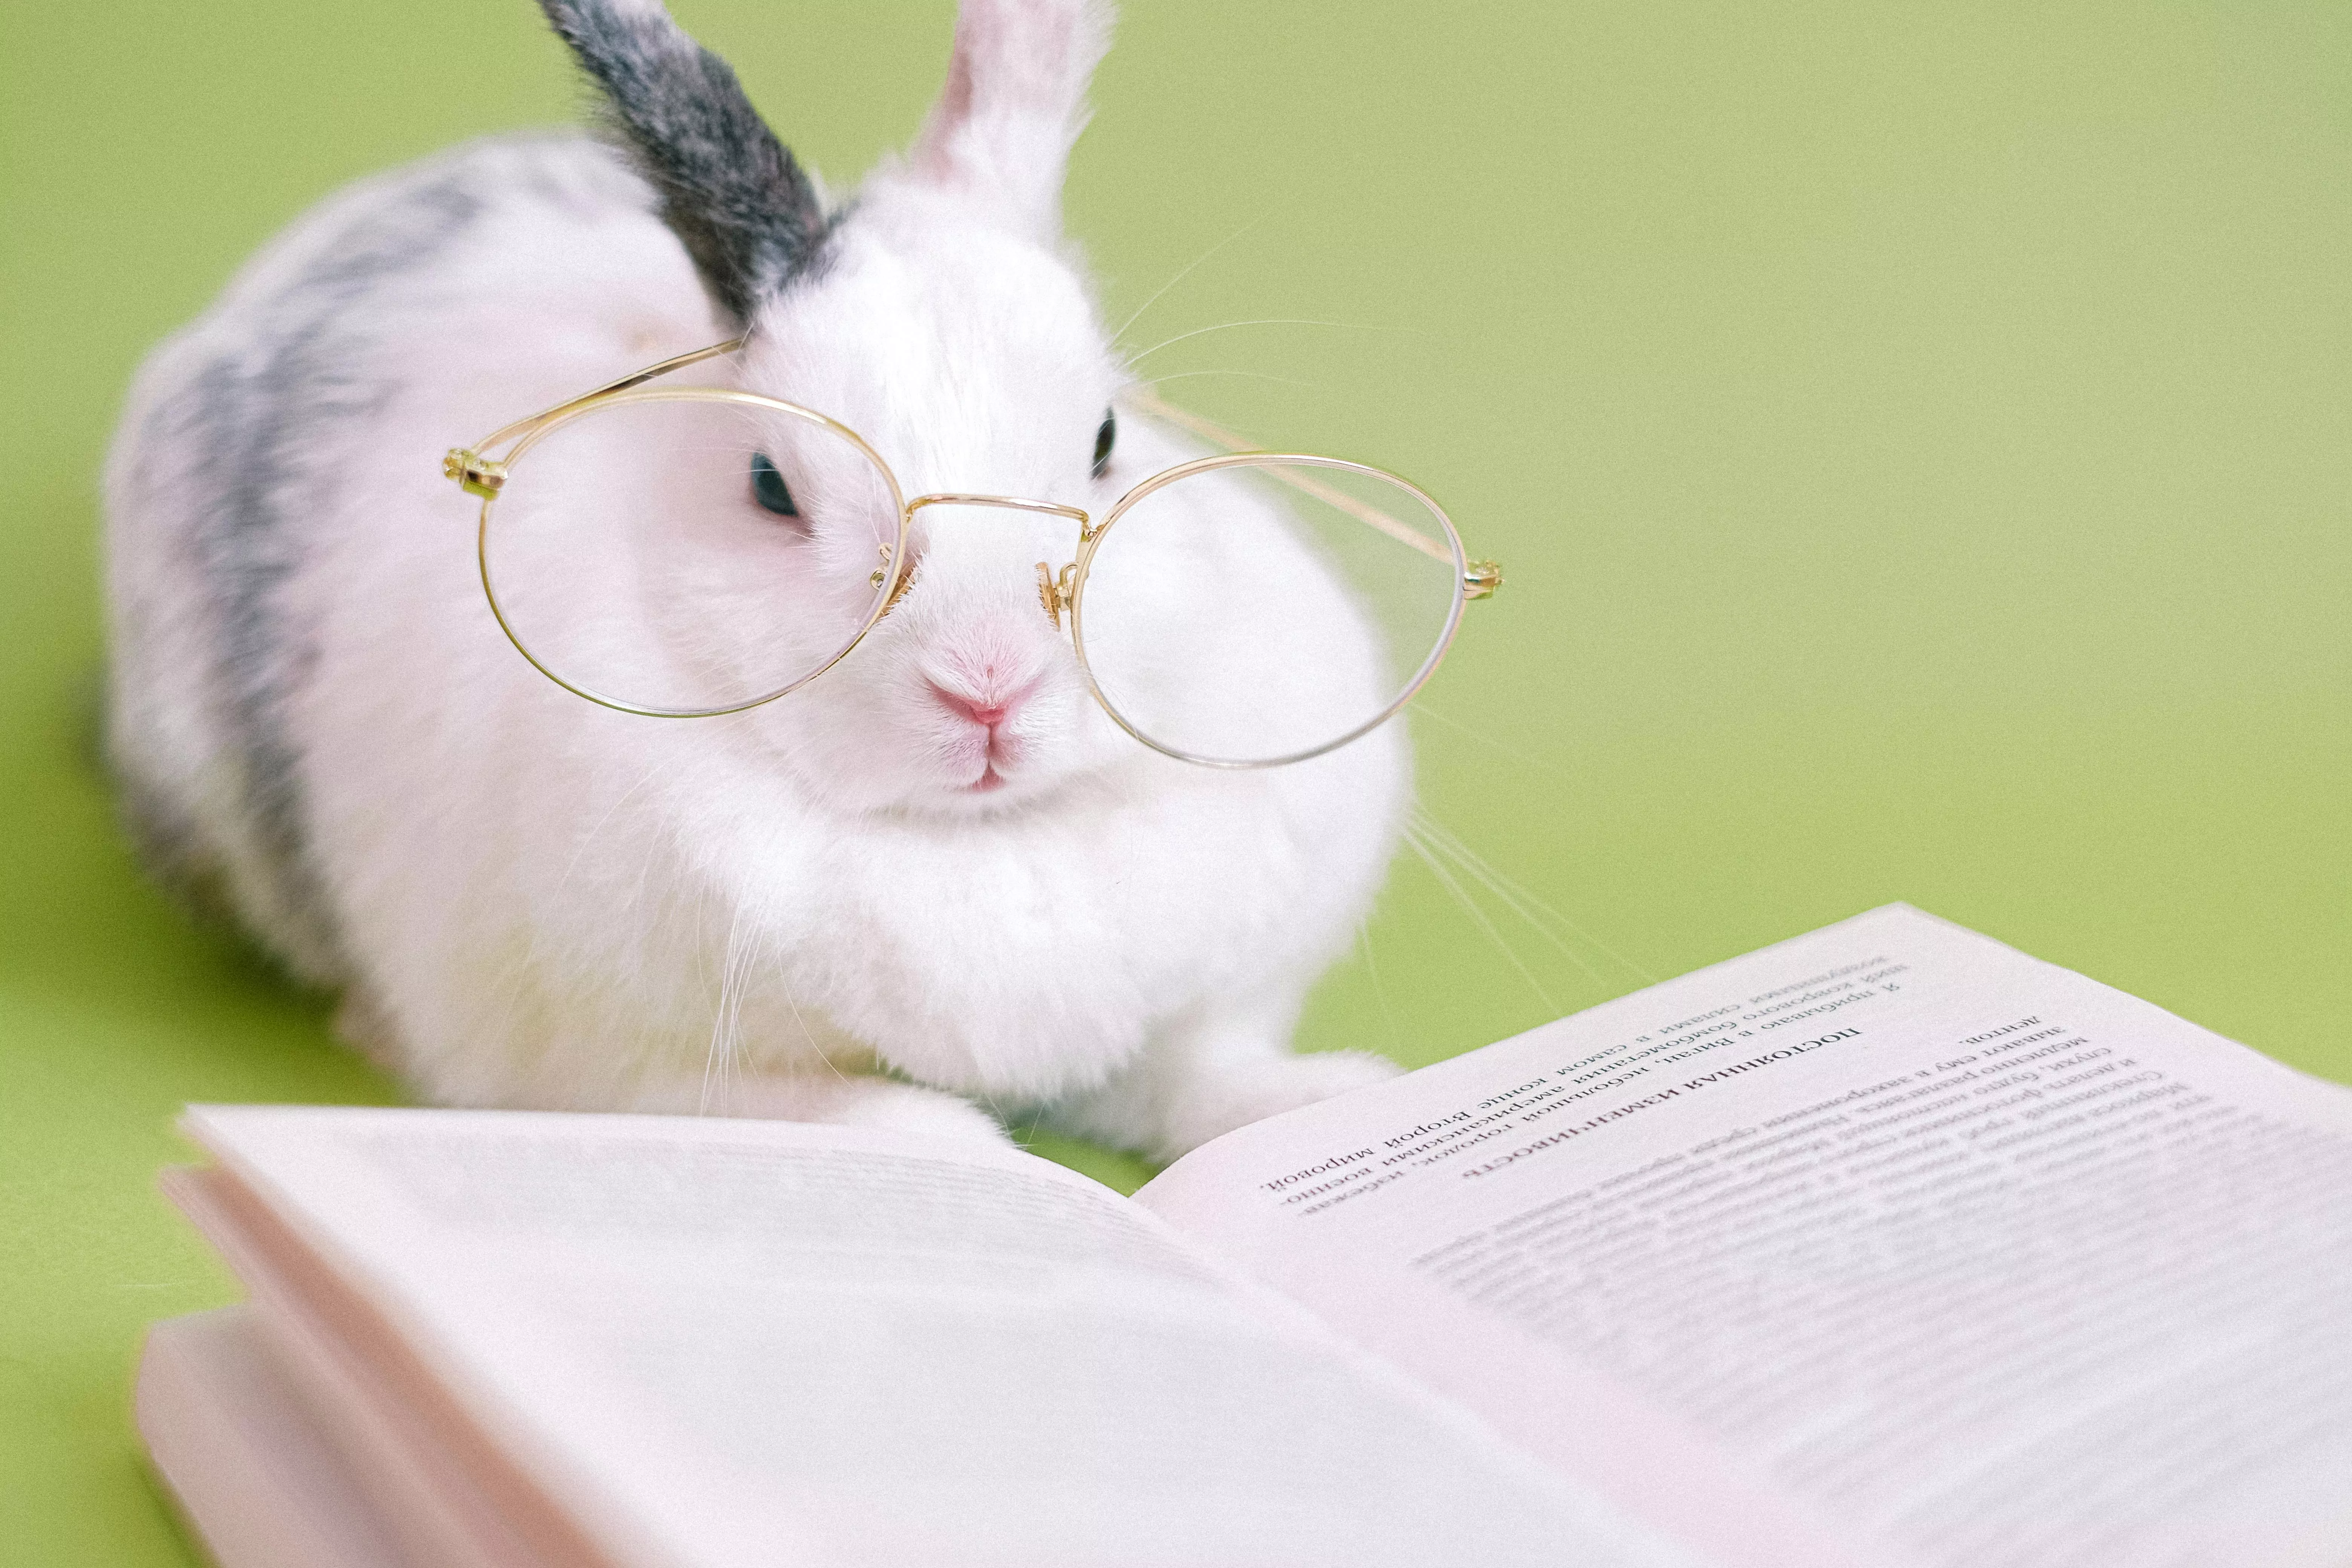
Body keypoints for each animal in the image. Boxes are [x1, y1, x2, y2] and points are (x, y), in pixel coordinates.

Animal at [103, 0, 1410, 1162]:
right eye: (772, 486)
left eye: (1104, 440)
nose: (989, 685)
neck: (973, 843)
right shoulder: (606, 1064)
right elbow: (813, 1113)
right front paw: (956, 1146)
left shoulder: (1191, 1017)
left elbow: (1198, 1080)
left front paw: (1334, 1099)